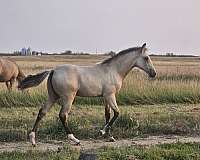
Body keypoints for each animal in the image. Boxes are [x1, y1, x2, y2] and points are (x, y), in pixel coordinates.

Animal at [18, 43, 156, 146]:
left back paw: (33, 139)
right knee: (63, 115)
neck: (113, 70)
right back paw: (74, 139)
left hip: (53, 96)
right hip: (68, 97)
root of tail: (53, 70)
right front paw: (102, 132)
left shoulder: (105, 97)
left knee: (42, 112)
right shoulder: (110, 95)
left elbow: (107, 115)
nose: (154, 73)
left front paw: (109, 136)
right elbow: (117, 113)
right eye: (146, 58)